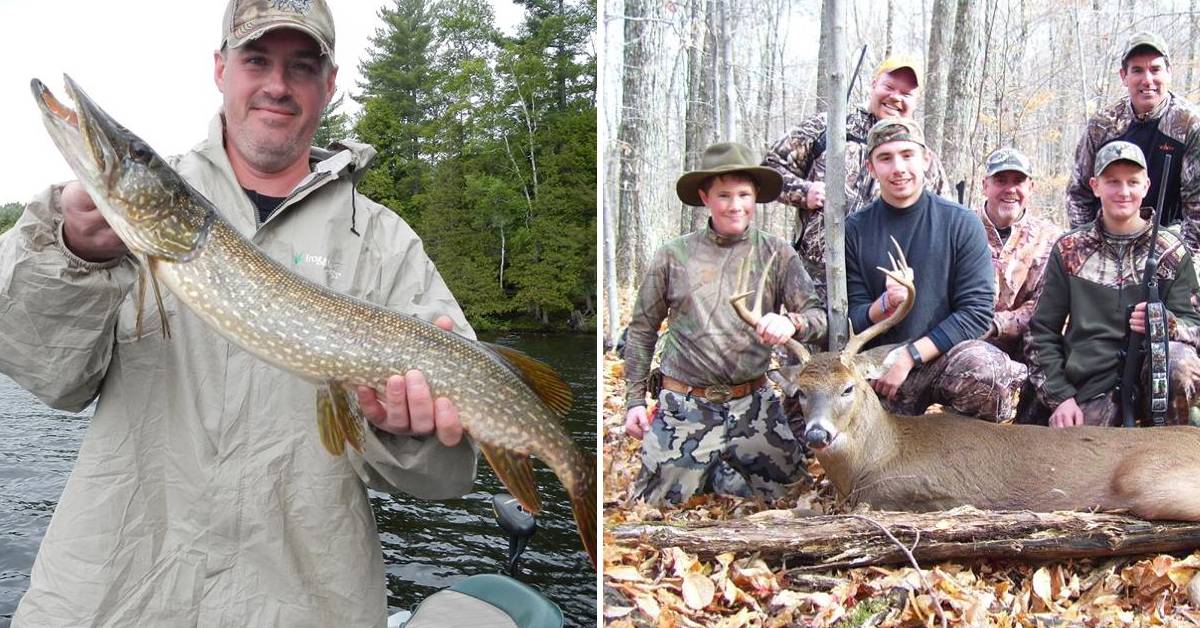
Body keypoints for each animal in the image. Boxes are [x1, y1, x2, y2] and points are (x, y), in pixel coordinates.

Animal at [724, 242, 1200, 521]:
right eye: (801, 392)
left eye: (849, 387)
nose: (818, 434)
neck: (876, 459)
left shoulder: (920, 494)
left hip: (1148, 483)